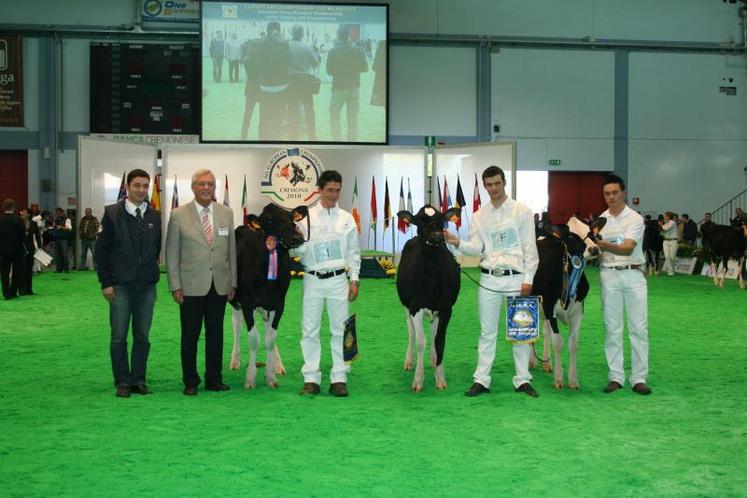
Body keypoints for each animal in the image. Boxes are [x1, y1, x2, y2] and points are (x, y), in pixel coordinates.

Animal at [231, 203, 306, 390]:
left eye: (292, 218)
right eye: (270, 221)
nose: (297, 237)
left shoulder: (279, 304)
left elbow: (271, 338)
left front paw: (271, 376)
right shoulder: (247, 304)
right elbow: (254, 339)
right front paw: (250, 378)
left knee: (267, 330)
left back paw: (277, 365)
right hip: (235, 302)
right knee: (236, 326)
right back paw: (235, 360)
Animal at [398, 204, 462, 392]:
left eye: (442, 219)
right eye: (420, 220)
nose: (437, 235)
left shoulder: (446, 308)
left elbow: (439, 340)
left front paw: (440, 378)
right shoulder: (415, 308)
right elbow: (420, 341)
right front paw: (418, 380)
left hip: (436, 311)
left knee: (433, 331)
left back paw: (434, 359)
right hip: (406, 307)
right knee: (411, 331)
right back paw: (409, 361)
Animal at [528, 216, 600, 392]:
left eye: (590, 232)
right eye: (572, 237)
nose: (594, 249)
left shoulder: (578, 311)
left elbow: (573, 344)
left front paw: (573, 380)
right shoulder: (549, 307)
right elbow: (558, 342)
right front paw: (559, 378)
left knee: (545, 332)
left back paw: (546, 363)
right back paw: (531, 362)